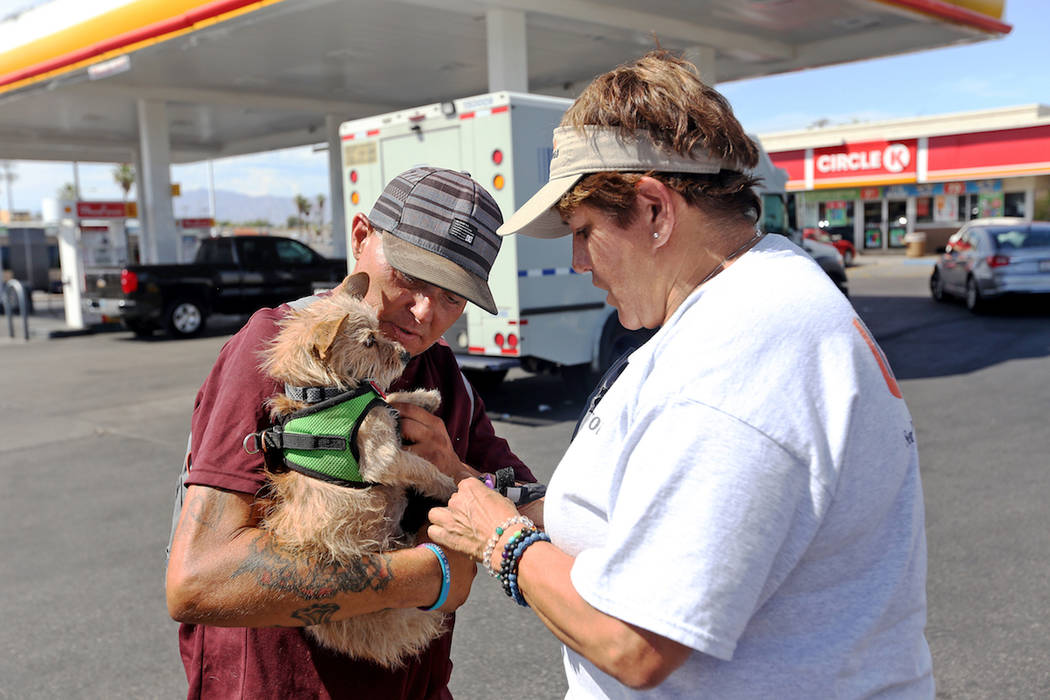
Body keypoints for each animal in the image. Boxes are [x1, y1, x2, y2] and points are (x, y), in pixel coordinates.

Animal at [257, 272, 455, 667]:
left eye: (381, 330)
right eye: (368, 341)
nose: (405, 354)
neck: (320, 393)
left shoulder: (376, 410)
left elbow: (386, 397)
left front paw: (425, 397)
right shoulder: (384, 457)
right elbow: (423, 468)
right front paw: (452, 485)